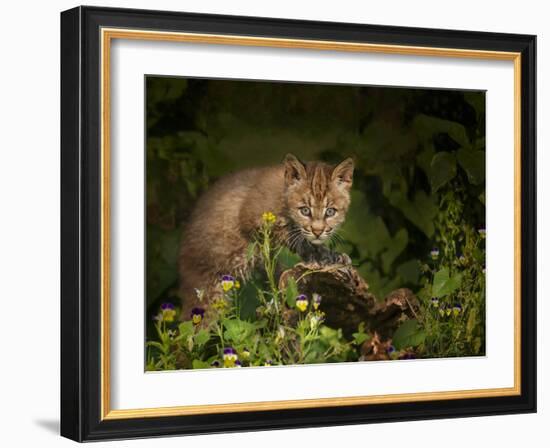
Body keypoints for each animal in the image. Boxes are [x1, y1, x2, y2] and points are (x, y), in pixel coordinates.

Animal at [179, 154, 356, 318]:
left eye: (330, 212)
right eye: (305, 211)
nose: (317, 231)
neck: (283, 197)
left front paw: (330, 255)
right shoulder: (251, 218)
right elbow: (293, 235)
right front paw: (318, 255)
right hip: (209, 292)